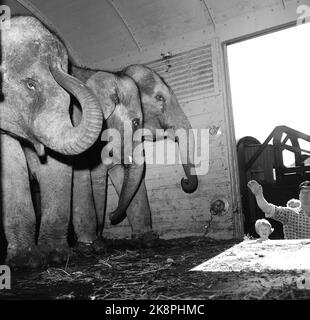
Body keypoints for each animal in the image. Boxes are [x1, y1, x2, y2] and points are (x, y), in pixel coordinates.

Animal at [70, 64, 197, 245]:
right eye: (159, 98)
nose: (184, 181)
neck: (114, 74)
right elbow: (96, 175)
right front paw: (95, 242)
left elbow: (124, 172)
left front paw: (148, 238)